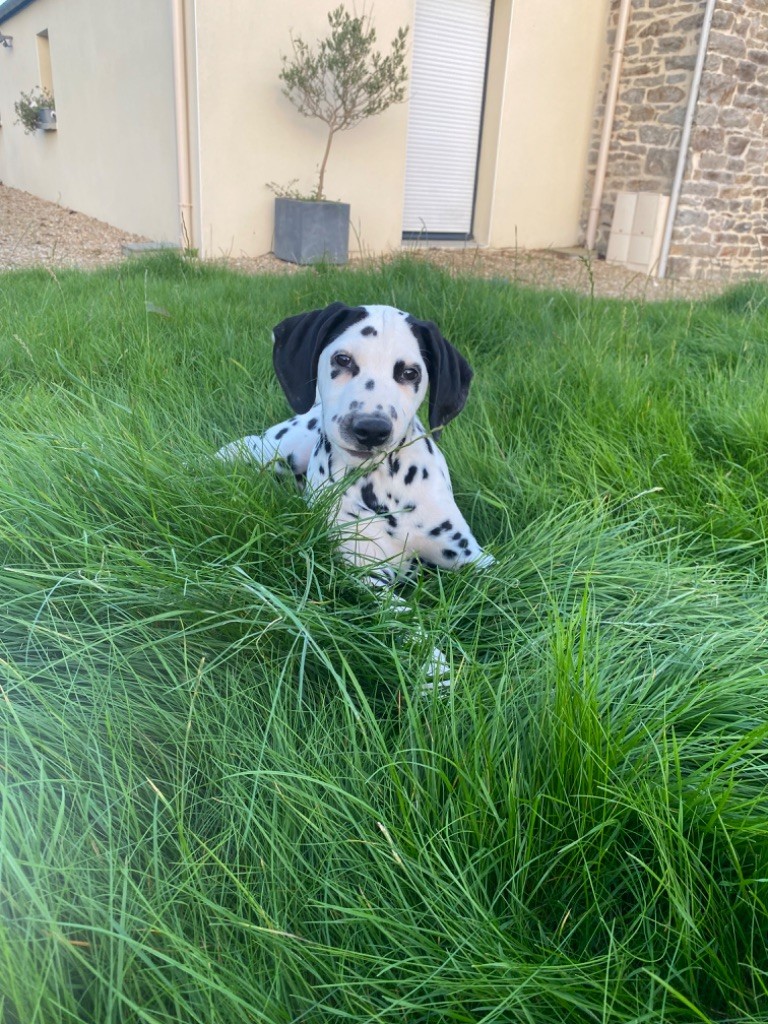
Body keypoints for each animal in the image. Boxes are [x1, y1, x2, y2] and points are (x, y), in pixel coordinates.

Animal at [218, 303, 493, 684]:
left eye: (410, 372)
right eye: (343, 359)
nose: (370, 429)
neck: (384, 488)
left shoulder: (471, 557)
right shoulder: (367, 575)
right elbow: (407, 620)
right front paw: (436, 671)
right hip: (275, 450)